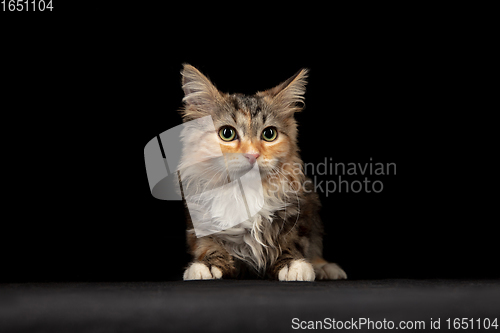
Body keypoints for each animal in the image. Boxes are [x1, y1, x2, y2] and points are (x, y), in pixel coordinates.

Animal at [178, 63, 346, 280]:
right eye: (227, 133)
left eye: (269, 134)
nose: (253, 155)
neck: (246, 192)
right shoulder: (199, 221)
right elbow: (208, 245)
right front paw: (206, 266)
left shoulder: (298, 215)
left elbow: (291, 243)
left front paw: (293, 265)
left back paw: (325, 267)